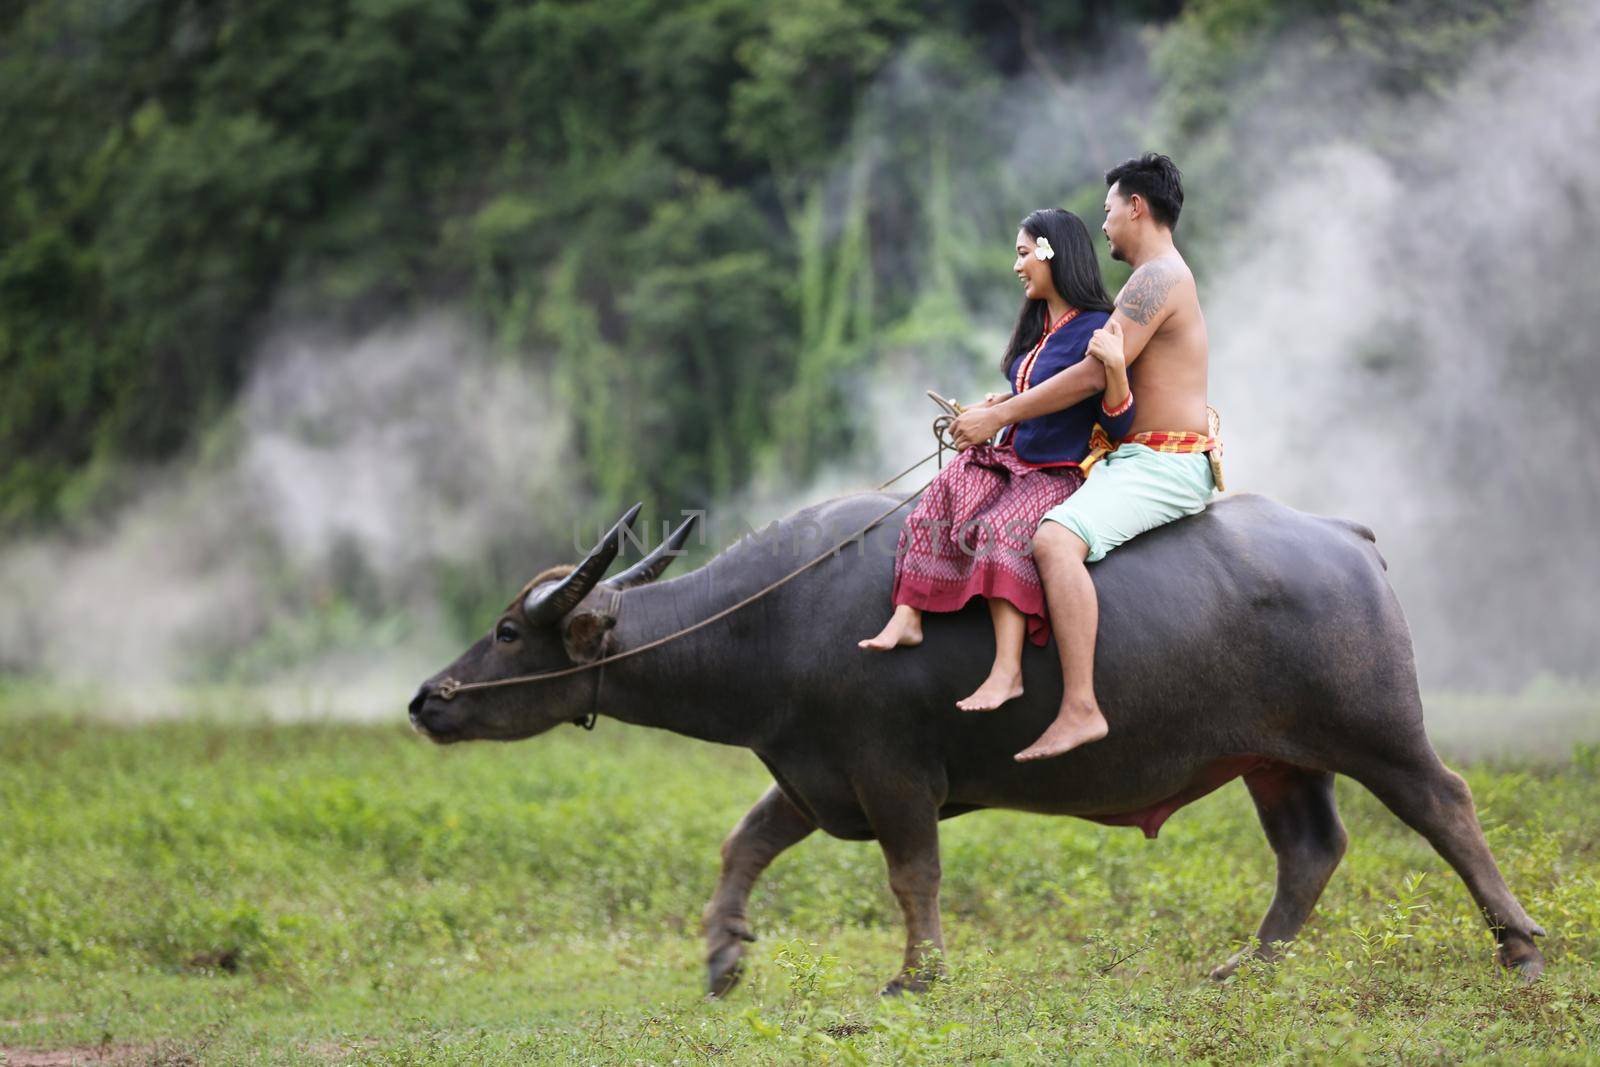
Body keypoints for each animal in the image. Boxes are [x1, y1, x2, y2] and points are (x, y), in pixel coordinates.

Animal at [406, 492, 1542, 991]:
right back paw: (1245, 967)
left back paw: (1519, 944)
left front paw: (916, 976)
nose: (427, 698)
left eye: (507, 629)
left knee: (1445, 804)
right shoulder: (813, 775)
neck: (773, 619)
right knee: (1309, 849)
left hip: (1375, 727)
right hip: (1276, 757)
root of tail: (1350, 539)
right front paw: (724, 954)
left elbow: (914, 873)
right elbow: (744, 841)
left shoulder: (892, 770)